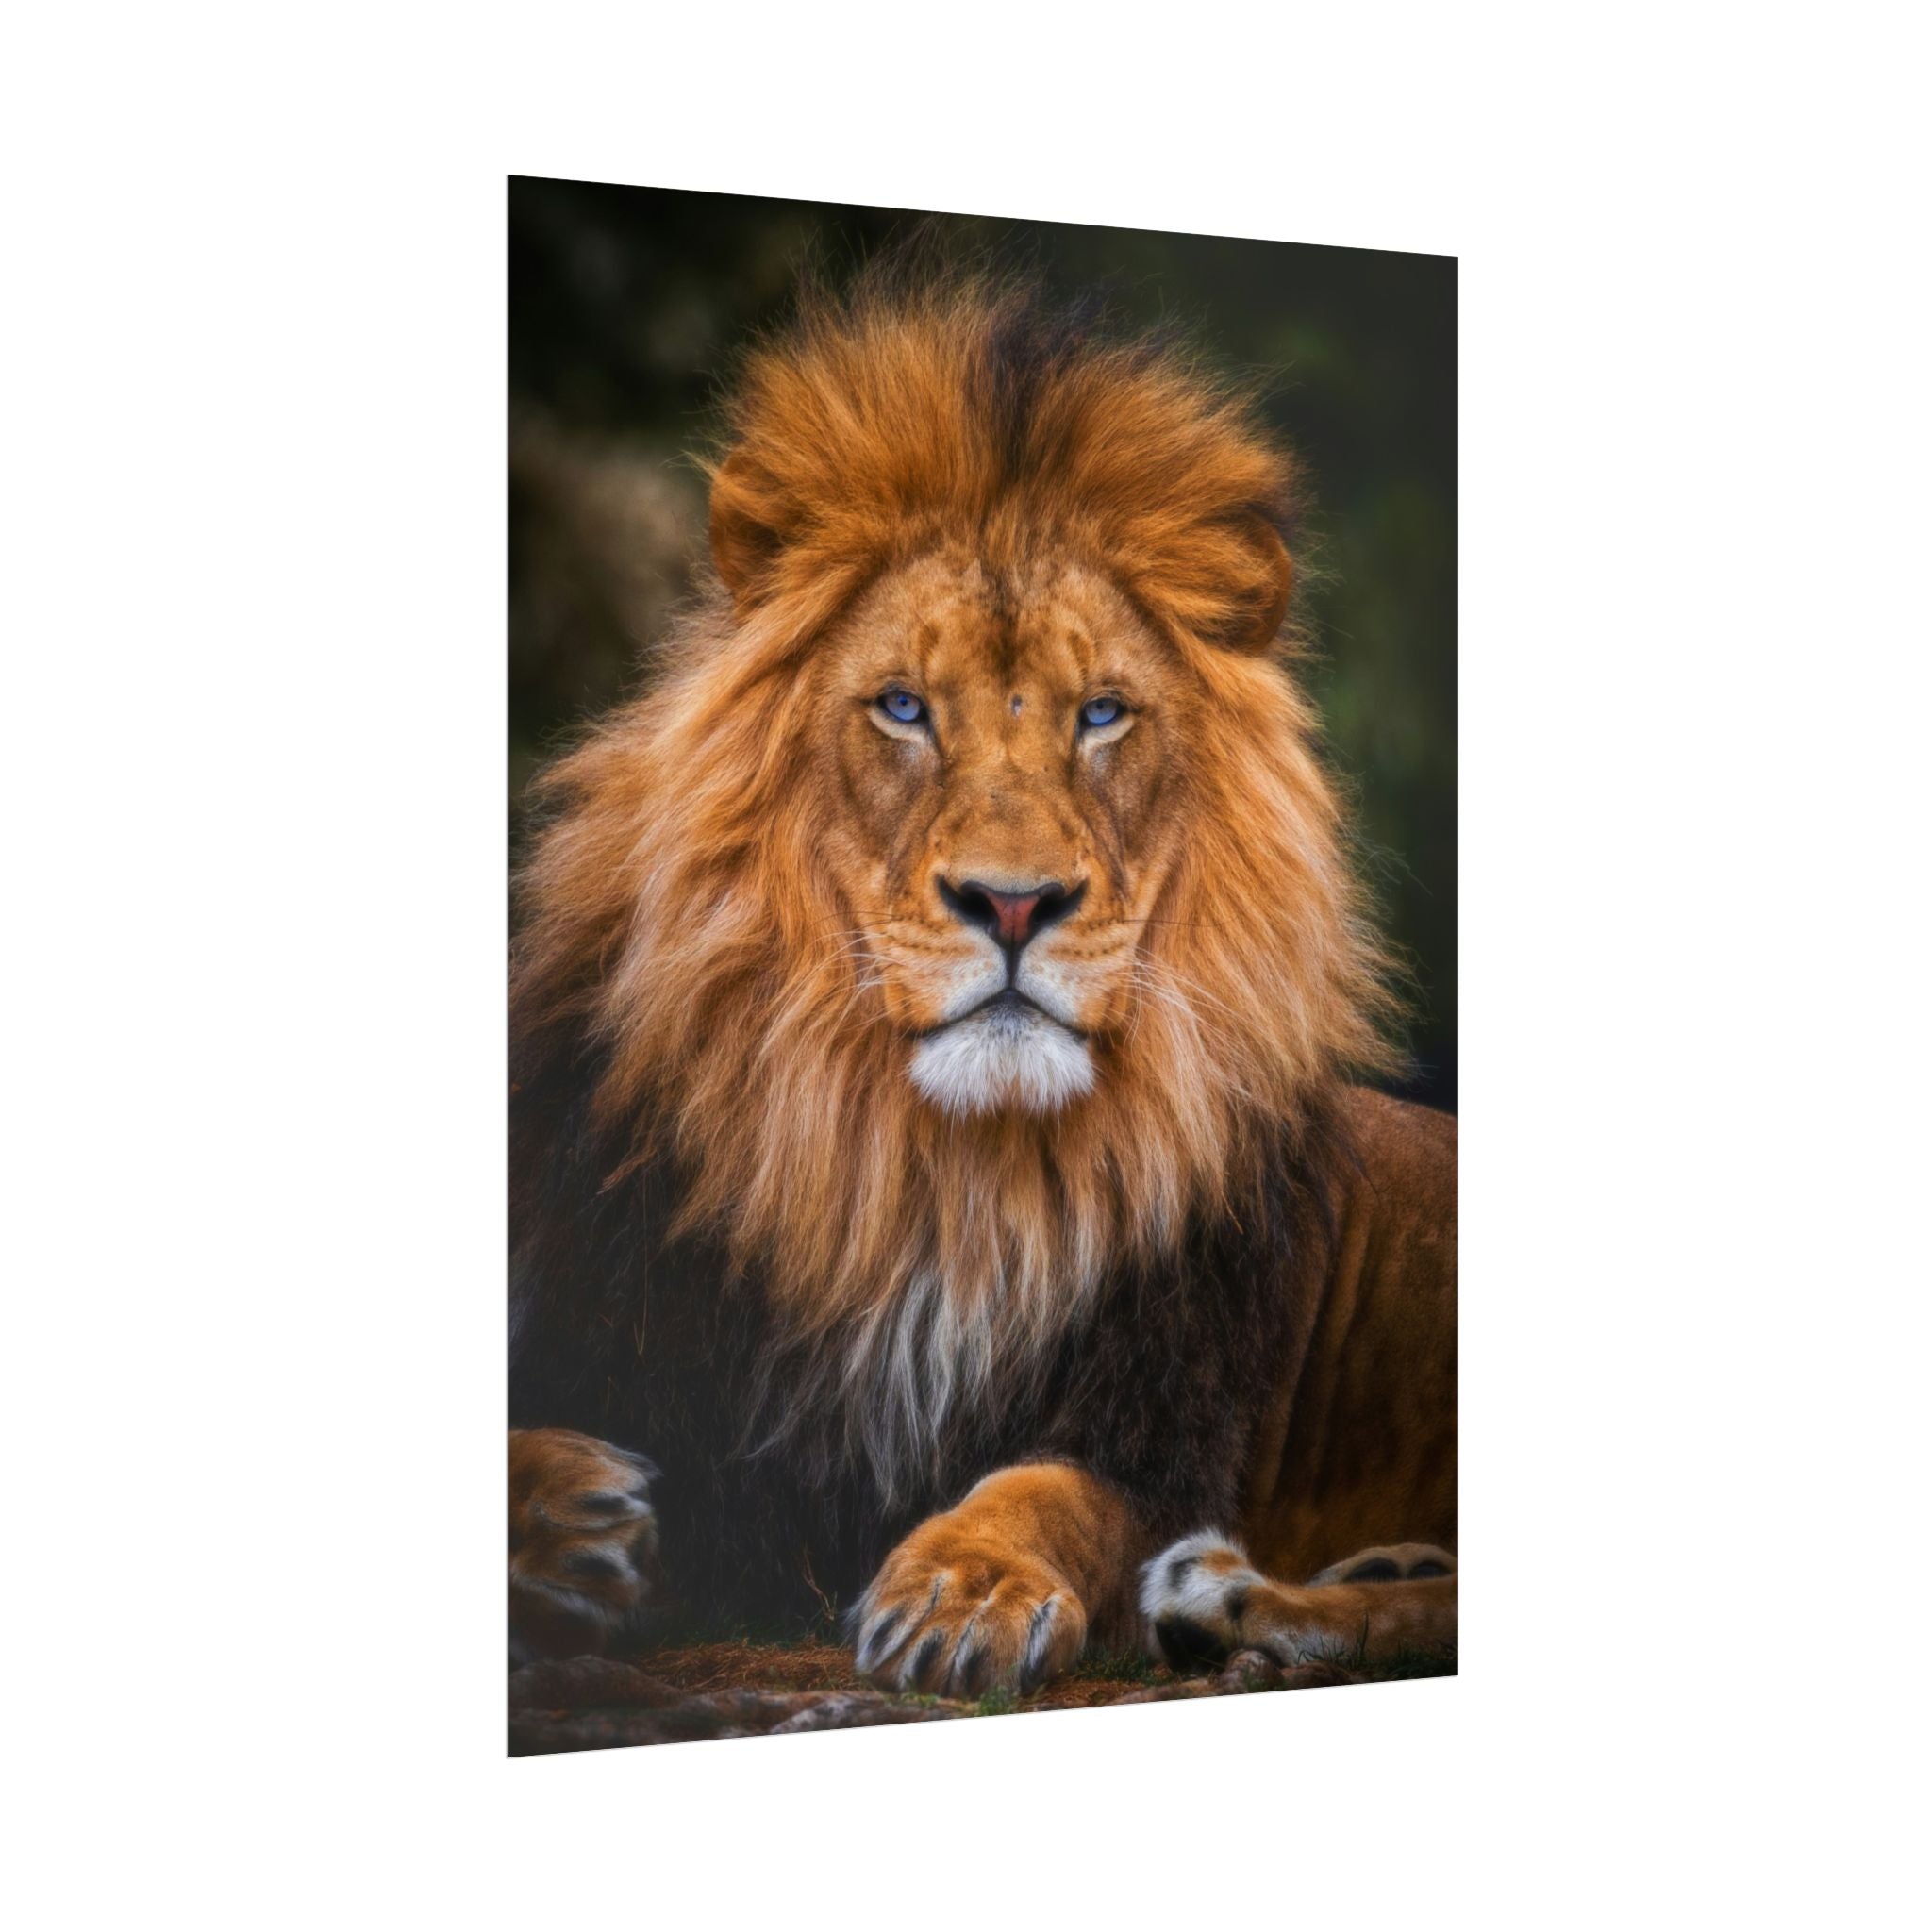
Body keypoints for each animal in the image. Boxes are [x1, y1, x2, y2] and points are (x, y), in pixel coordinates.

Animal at [508, 270, 1456, 1695]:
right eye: (903, 707)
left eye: (1102, 714)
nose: (1013, 903)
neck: (936, 1177)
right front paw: (569, 1516)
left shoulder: (1159, 1427)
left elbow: (1046, 1490)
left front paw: (966, 1587)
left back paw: (1238, 1601)